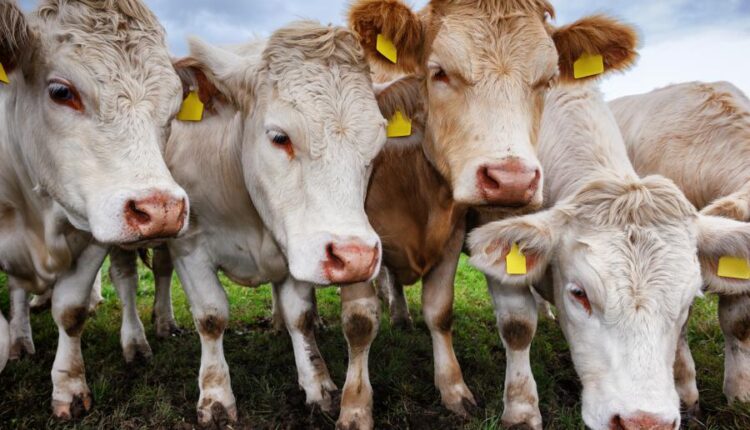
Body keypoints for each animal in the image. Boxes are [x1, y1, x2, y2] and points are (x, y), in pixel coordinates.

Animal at [0, 0, 188, 419]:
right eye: (60, 91)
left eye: (173, 108)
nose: (161, 209)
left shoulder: (90, 235)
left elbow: (70, 311)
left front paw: (69, 387)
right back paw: (22, 338)